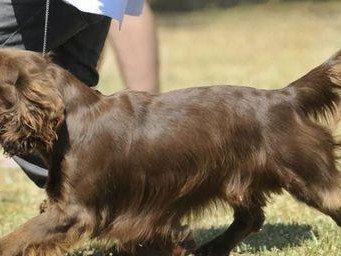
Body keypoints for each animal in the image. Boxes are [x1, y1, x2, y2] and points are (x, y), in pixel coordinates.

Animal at [0, 48, 340, 256]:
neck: (70, 120)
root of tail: (286, 96)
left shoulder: (74, 210)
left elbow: (15, 238)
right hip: (234, 180)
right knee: (251, 217)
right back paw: (210, 249)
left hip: (308, 173)